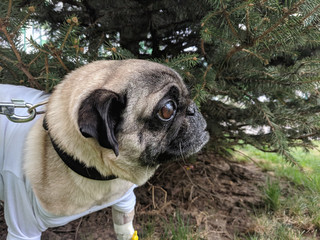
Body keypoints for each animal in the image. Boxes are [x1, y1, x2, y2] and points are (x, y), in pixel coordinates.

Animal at [0, 59, 209, 239]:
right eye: (167, 110)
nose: (193, 108)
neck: (98, 174)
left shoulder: (124, 203)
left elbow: (125, 230)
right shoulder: (23, 230)